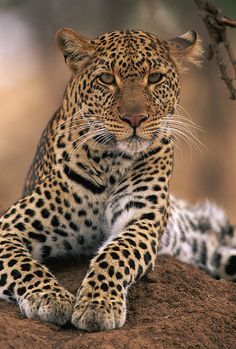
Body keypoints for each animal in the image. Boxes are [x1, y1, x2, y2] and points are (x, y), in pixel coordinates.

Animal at [0, 27, 236, 332]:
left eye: (155, 78)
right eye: (107, 79)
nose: (134, 119)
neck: (112, 161)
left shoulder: (141, 219)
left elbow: (116, 254)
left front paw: (97, 305)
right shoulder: (9, 225)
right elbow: (22, 264)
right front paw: (48, 297)